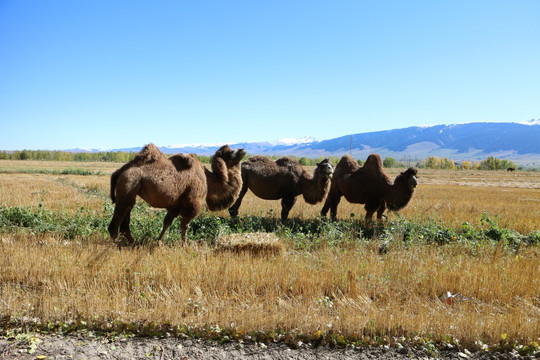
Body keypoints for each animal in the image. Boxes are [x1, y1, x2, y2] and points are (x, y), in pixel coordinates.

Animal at [108, 142, 246, 243]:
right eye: (231, 152)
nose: (242, 149)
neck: (208, 180)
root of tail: (119, 171)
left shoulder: (175, 205)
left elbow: (167, 222)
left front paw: (160, 242)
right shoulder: (192, 202)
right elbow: (184, 225)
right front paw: (184, 244)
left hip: (130, 191)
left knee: (126, 216)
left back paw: (133, 242)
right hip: (129, 182)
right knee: (115, 223)